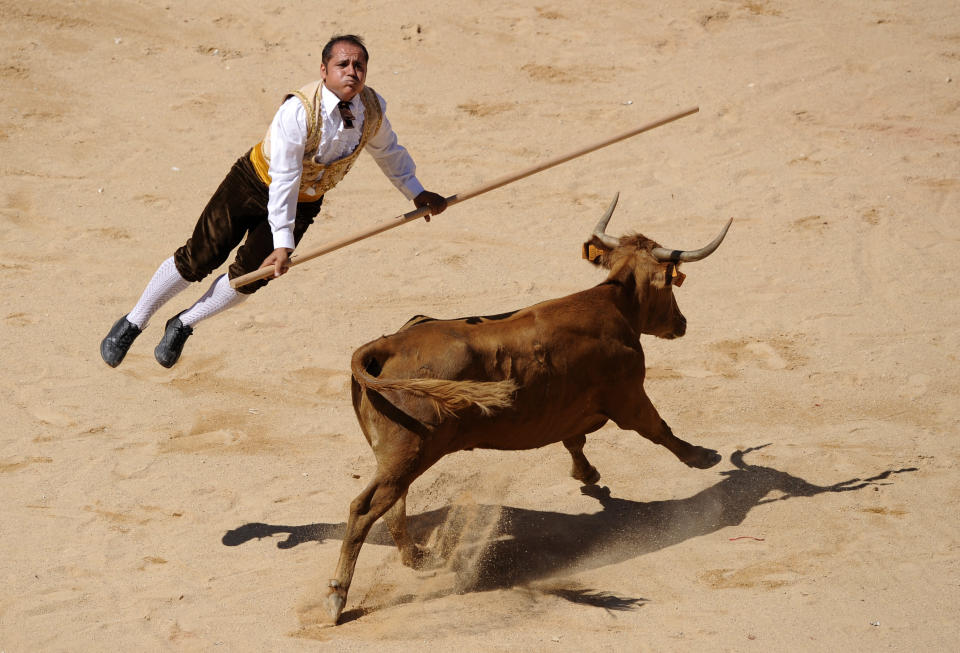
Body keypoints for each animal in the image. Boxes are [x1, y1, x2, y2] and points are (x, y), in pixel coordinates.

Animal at [318, 194, 732, 620]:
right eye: (670, 286)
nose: (682, 323)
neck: (613, 302)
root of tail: (385, 345)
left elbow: (575, 441)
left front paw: (587, 474)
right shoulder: (629, 396)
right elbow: (658, 429)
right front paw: (702, 457)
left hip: (396, 457)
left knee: (394, 501)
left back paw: (417, 557)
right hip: (410, 452)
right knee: (365, 508)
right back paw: (338, 595)